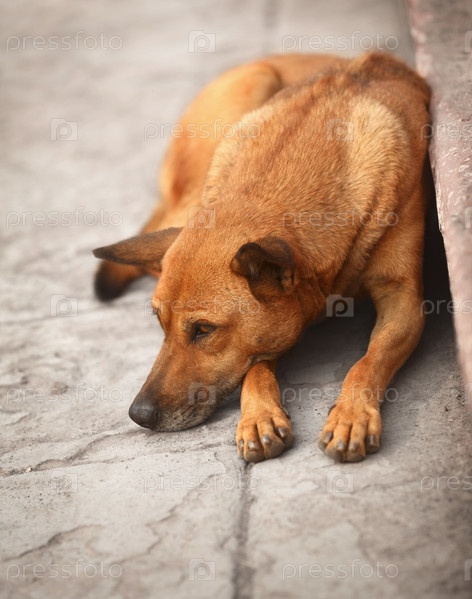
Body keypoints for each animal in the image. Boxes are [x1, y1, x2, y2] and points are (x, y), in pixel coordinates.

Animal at [93, 52, 430, 463]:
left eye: (203, 329)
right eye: (159, 321)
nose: (139, 415)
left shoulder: (403, 301)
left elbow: (368, 361)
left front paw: (352, 415)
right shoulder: (267, 334)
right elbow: (253, 370)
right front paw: (258, 417)